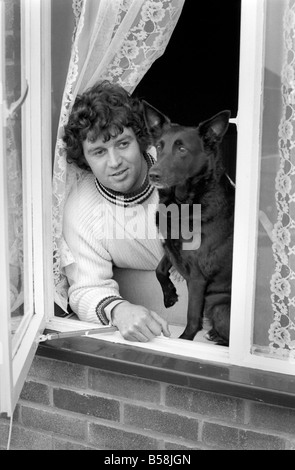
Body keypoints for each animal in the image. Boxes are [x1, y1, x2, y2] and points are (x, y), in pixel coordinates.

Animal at [143, 103, 236, 346]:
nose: (152, 175)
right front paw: (170, 295)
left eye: (182, 149)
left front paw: (184, 340)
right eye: (159, 146)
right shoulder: (171, 246)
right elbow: (159, 269)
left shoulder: (197, 276)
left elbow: (192, 316)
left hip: (220, 307)